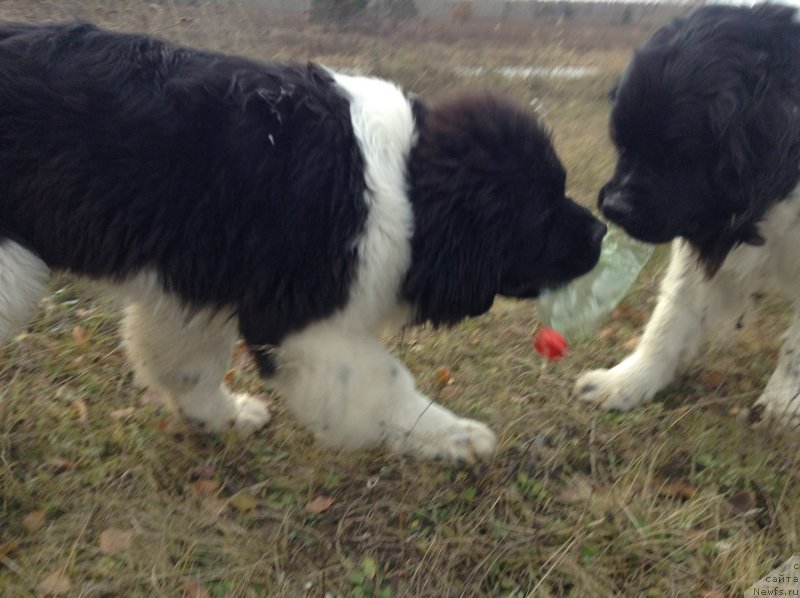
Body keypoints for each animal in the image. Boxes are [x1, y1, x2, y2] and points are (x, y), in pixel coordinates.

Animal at [0, 21, 604, 464]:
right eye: (542, 209)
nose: (601, 230)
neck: (404, 184)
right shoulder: (301, 317)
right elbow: (383, 382)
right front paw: (454, 436)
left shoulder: (196, 277)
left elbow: (187, 363)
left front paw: (220, 417)